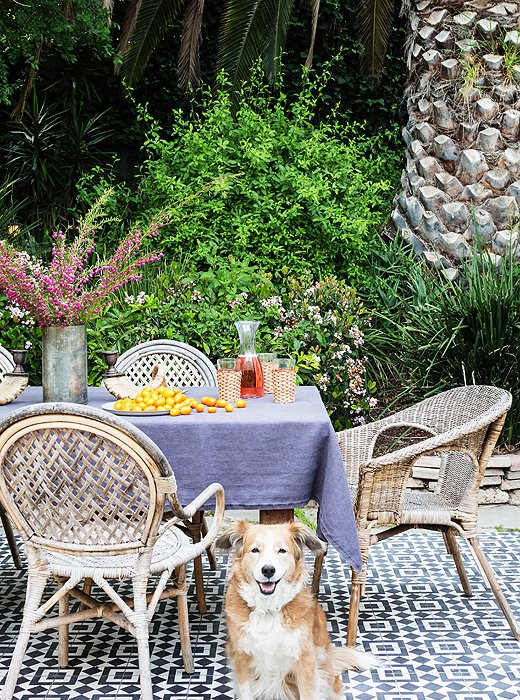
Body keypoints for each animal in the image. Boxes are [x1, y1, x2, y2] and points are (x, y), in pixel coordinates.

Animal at [215, 520, 378, 700]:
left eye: (282, 550)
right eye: (255, 550)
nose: (268, 570)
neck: (269, 609)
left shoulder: (305, 660)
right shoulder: (241, 659)